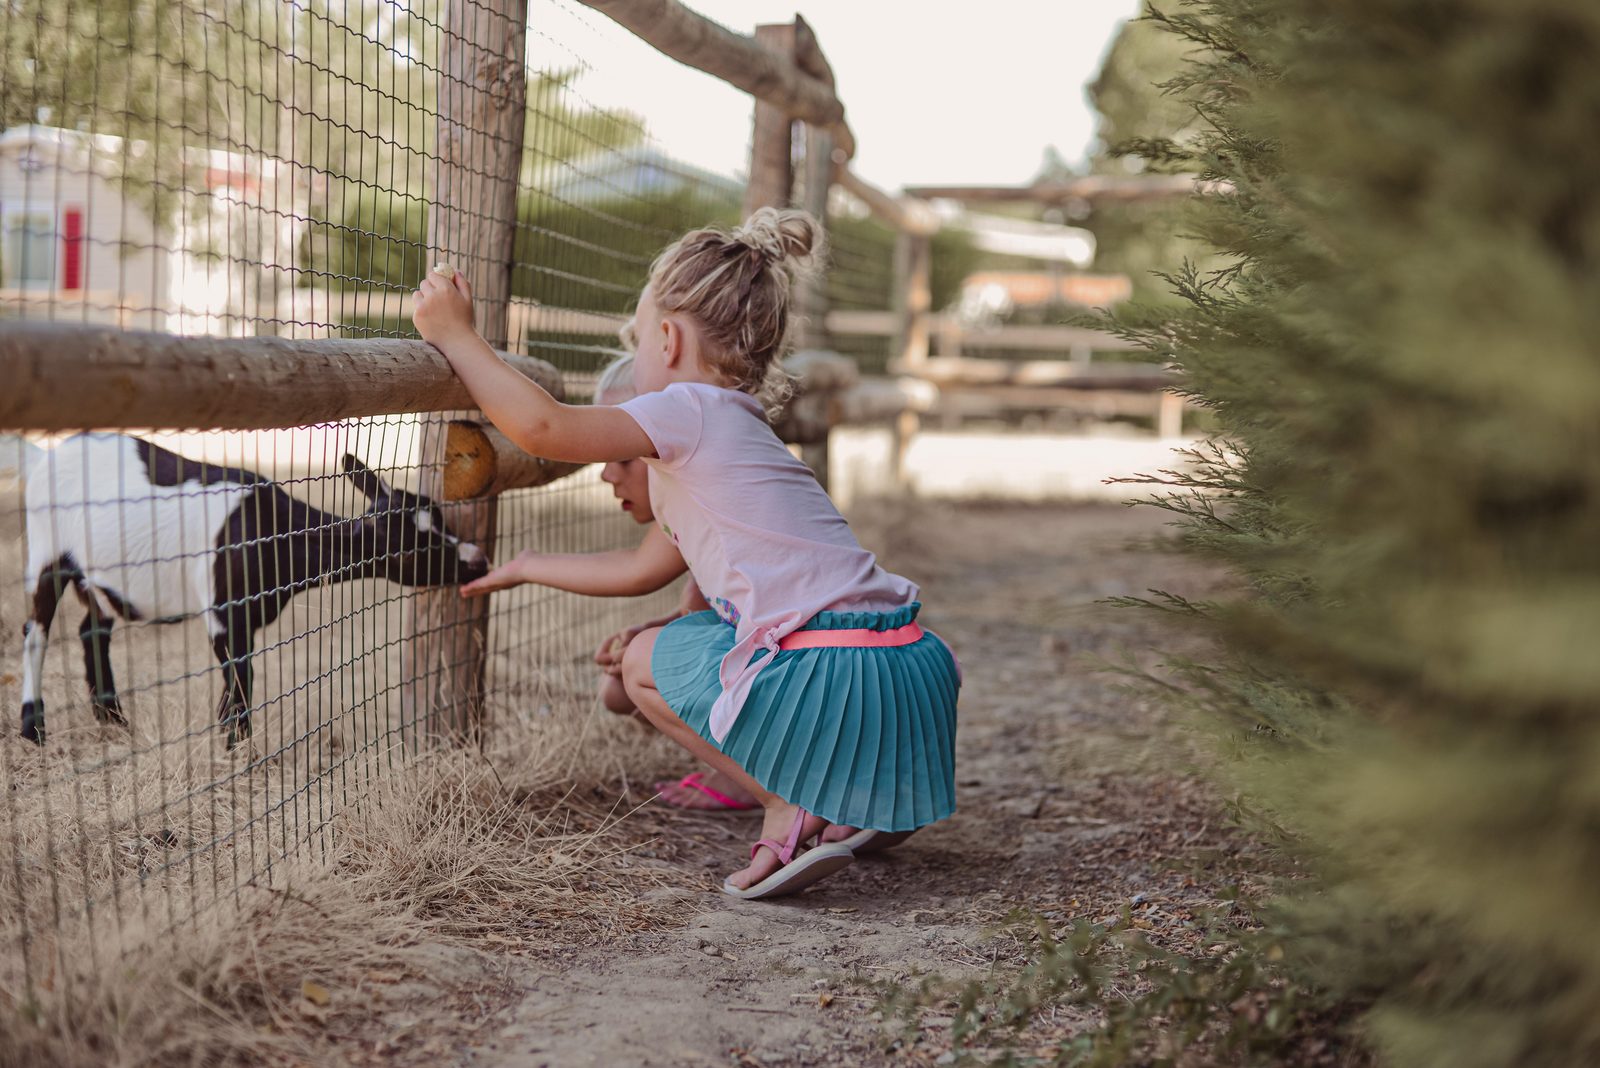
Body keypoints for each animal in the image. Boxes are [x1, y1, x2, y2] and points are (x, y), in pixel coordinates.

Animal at [20, 433, 490, 747]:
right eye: (415, 547)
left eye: (441, 520)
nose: (478, 561)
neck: (272, 533)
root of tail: (43, 456)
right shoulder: (222, 613)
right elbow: (242, 679)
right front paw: (235, 747)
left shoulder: (248, 618)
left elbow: (238, 682)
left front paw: (228, 735)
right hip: (46, 549)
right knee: (36, 632)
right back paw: (33, 727)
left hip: (97, 576)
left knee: (92, 629)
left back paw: (113, 719)